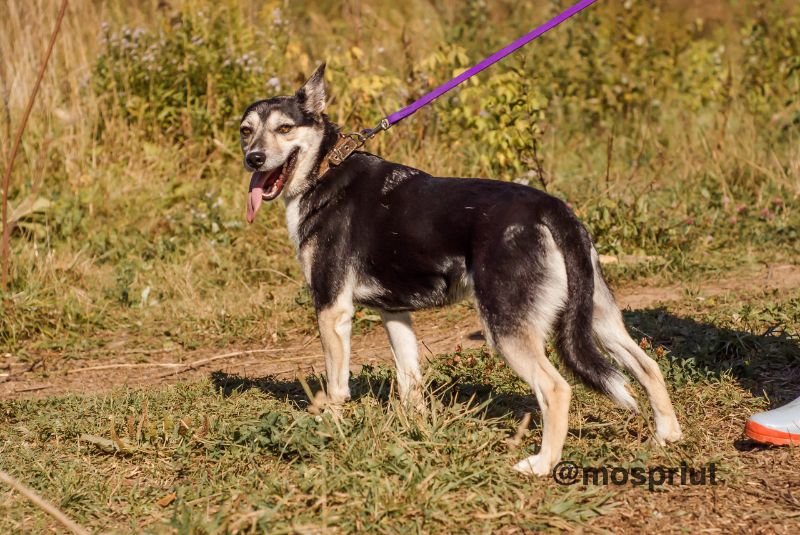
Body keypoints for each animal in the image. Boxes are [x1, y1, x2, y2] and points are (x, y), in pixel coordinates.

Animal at [239, 63, 680, 478]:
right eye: (246, 131)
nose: (253, 159)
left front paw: (329, 428)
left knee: (556, 389)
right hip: (598, 318)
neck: (325, 168)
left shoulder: (332, 309)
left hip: (506, 327)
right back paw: (667, 435)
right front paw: (415, 431)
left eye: (284, 128)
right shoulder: (395, 314)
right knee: (648, 366)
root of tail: (552, 209)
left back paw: (542, 464)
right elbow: (410, 383)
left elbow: (335, 387)